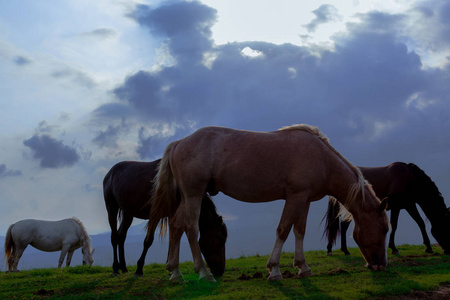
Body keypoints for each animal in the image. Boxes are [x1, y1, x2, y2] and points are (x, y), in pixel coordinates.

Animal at [149, 123, 390, 282]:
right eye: (384, 228)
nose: (380, 265)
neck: (322, 158)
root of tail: (178, 143)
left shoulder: (304, 200)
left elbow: (299, 231)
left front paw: (303, 267)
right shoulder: (295, 197)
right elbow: (283, 229)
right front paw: (274, 270)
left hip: (188, 196)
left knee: (176, 225)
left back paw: (175, 273)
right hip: (194, 194)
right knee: (190, 227)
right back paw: (203, 272)